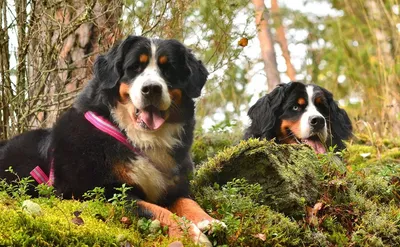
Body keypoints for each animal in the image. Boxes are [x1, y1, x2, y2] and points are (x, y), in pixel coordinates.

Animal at [0, 35, 223, 246]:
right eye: (135, 67)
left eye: (168, 69)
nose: (151, 88)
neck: (138, 138)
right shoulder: (99, 191)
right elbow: (156, 210)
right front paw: (192, 235)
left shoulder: (173, 186)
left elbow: (188, 202)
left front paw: (209, 221)